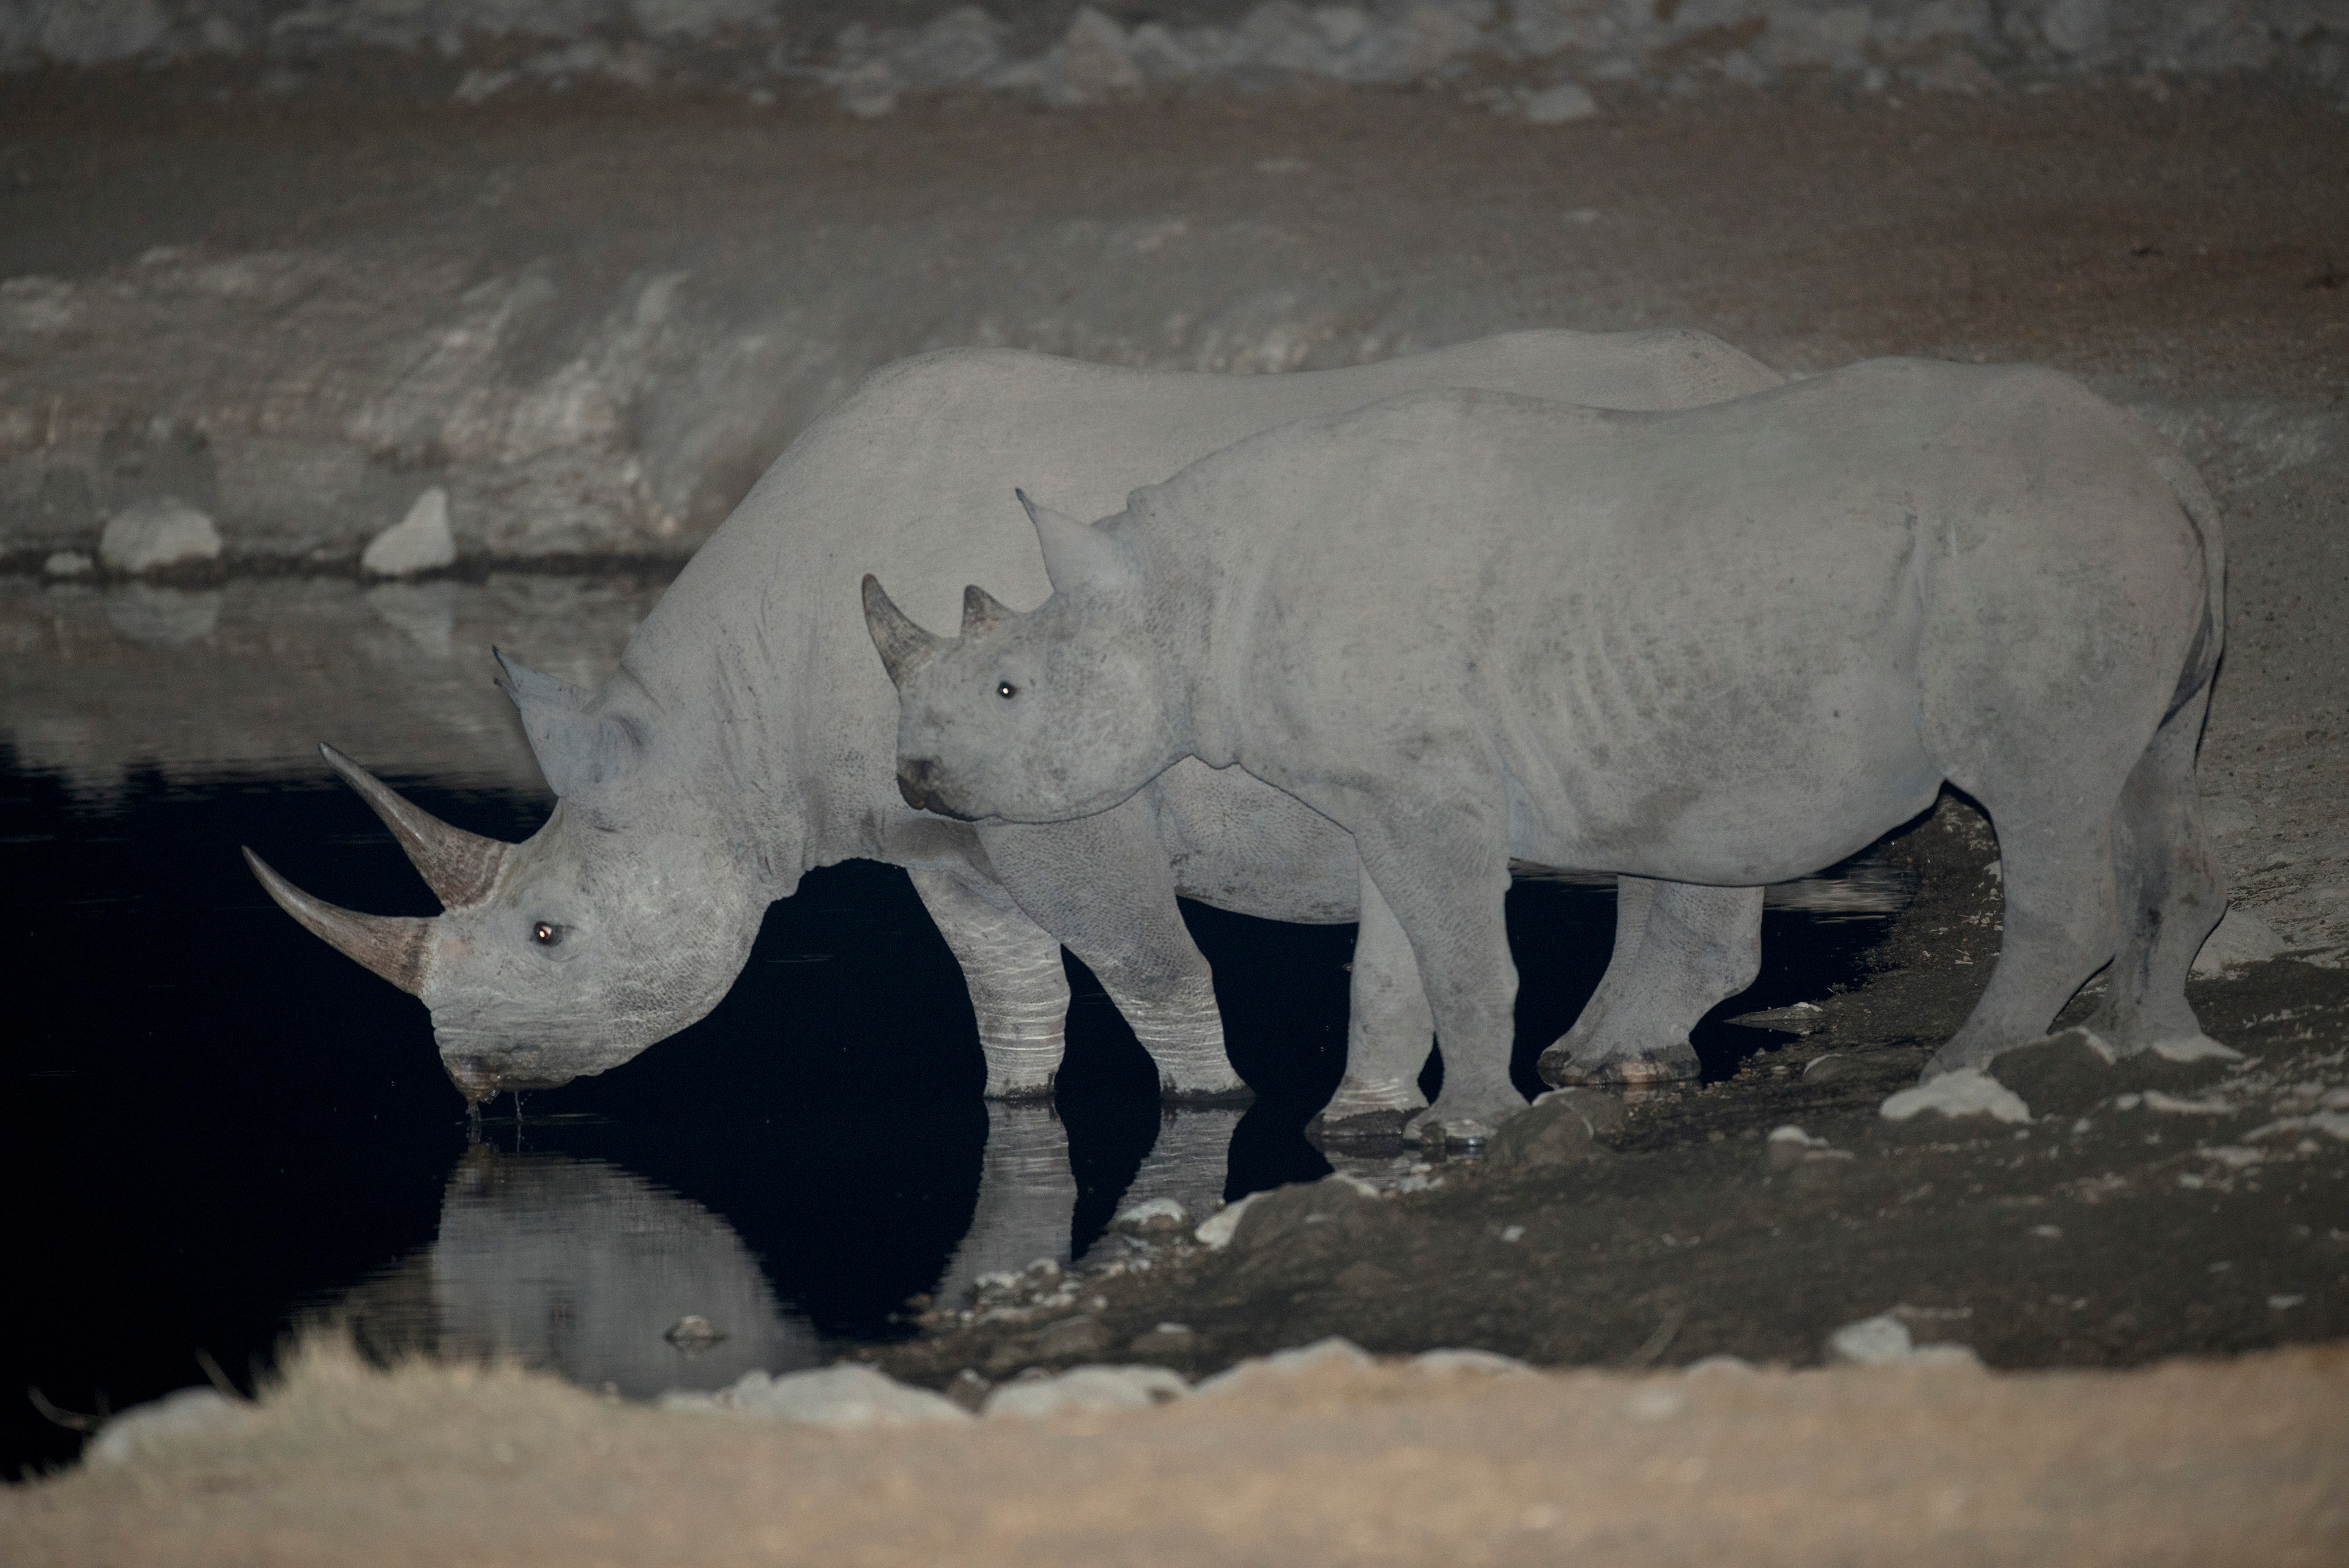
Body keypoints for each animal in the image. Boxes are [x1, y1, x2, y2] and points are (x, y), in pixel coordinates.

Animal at [245, 330, 1784, 1128]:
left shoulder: (1067, 798)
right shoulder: (941, 826)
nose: (467, 1076)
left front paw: (1213, 1104)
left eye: (550, 934)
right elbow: (1009, 990)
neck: (720, 733)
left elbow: (1151, 968)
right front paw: (1020, 1107)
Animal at [866, 359, 2232, 1145]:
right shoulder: (1388, 787)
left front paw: (1469, 1126)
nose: (915, 780)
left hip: (2035, 552)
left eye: (1007, 686)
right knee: (2156, 785)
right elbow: (1397, 958)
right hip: (2096, 545)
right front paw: (1367, 1121)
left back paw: (1964, 1068)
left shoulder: (1430, 789)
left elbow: (1466, 955)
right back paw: (2155, 1048)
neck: (1184, 594)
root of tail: (2170, 465)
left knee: (2046, 797)